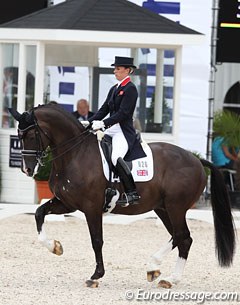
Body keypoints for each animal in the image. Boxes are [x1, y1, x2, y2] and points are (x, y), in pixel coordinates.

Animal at [8, 104, 235, 288]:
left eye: (31, 136)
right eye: (18, 135)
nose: (27, 169)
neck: (75, 154)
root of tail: (197, 161)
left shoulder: (91, 207)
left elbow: (96, 240)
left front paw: (96, 276)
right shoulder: (67, 203)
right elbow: (39, 213)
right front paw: (55, 247)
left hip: (176, 207)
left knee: (182, 236)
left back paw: (164, 274)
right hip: (163, 208)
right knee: (181, 238)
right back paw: (158, 272)